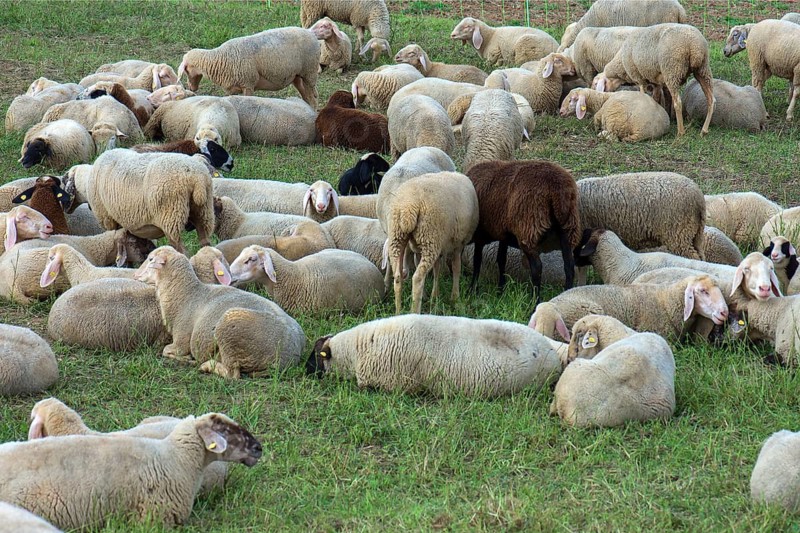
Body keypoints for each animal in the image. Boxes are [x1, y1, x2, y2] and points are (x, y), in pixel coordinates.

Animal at [62, 150, 214, 254]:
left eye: (63, 181)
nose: (64, 208)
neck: (86, 181)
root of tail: (197, 177)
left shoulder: (108, 219)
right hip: (204, 211)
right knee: (205, 241)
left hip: (171, 215)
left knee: (180, 249)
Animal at [134, 246, 306, 378]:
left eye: (150, 259)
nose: (135, 275)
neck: (187, 294)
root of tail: (290, 354)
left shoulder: (181, 341)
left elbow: (166, 350)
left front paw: (186, 359)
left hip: (230, 332)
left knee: (232, 374)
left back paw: (207, 365)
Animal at [178, 27, 320, 106]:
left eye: (186, 70)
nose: (190, 87)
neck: (218, 59)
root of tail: (311, 33)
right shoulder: (233, 88)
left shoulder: (248, 84)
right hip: (297, 76)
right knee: (306, 97)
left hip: (310, 72)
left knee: (312, 99)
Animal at [385, 171, 478, 314]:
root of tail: (408, 207)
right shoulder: (458, 243)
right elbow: (456, 267)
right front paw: (455, 297)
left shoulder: (439, 245)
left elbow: (437, 269)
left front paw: (435, 296)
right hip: (430, 237)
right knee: (417, 278)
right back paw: (414, 312)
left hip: (397, 236)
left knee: (398, 276)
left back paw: (398, 313)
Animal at [467, 160, 581, 303]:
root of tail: (558, 189)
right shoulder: (504, 234)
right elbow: (501, 260)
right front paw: (500, 291)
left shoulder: (480, 235)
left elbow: (477, 261)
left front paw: (472, 290)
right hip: (567, 228)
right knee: (569, 266)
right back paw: (566, 294)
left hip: (529, 229)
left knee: (537, 267)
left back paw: (535, 301)